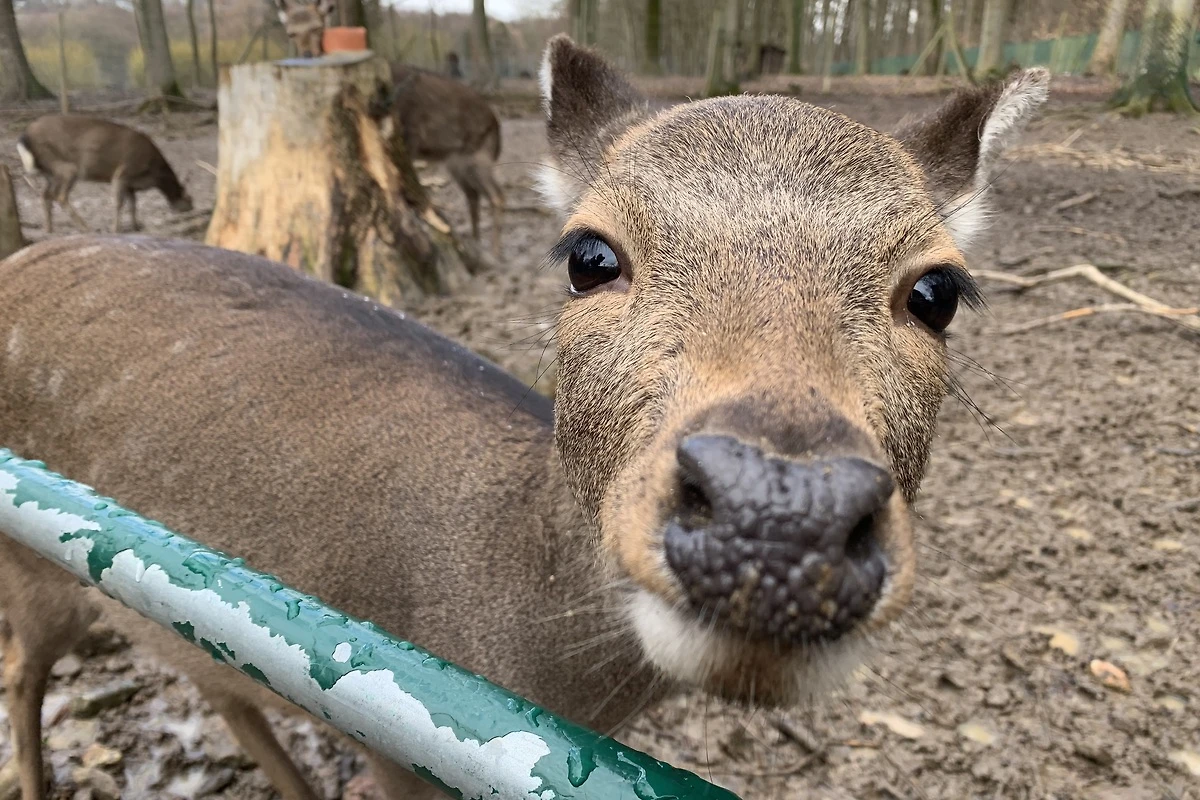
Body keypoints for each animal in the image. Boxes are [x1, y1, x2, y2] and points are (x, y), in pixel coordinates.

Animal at [16, 114, 193, 236]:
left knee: (45, 195)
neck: (153, 173)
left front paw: (136, 227)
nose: (191, 208)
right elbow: (119, 203)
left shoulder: (131, 184)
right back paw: (86, 227)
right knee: (60, 196)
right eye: (190, 199)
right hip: (67, 167)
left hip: (49, 172)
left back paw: (48, 228)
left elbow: (133, 204)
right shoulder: (123, 172)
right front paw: (116, 229)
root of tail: (25, 135)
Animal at [371, 62, 506, 255]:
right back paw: (475, 242)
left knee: (497, 195)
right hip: (457, 163)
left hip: (477, 157)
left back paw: (495, 252)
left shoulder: (410, 138)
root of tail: (495, 125)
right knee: (473, 194)